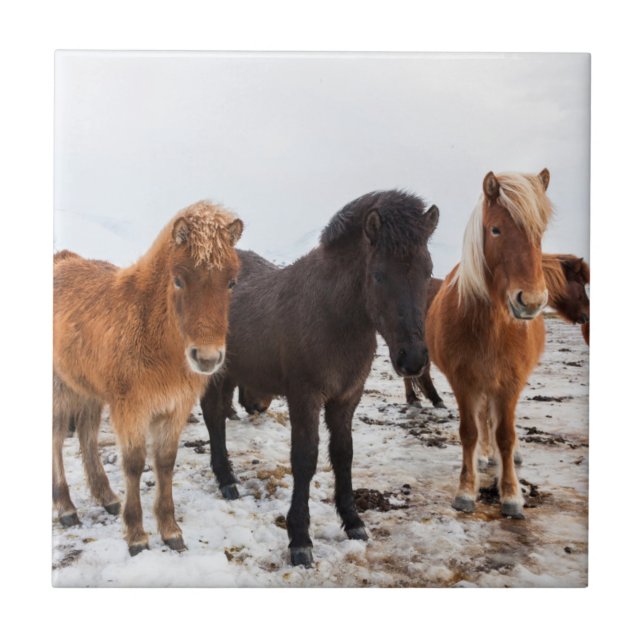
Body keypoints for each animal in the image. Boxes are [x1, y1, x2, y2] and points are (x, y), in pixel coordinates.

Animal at [53, 201, 243, 555]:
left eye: (231, 282)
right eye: (179, 280)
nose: (207, 358)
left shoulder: (174, 408)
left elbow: (165, 462)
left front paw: (170, 530)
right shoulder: (131, 409)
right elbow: (134, 463)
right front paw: (137, 535)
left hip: (88, 390)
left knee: (86, 434)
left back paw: (106, 497)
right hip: (61, 389)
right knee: (58, 438)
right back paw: (66, 508)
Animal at [200, 190, 439, 566]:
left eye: (428, 272)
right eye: (378, 276)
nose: (413, 359)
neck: (332, 315)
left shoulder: (346, 398)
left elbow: (343, 454)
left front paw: (353, 521)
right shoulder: (305, 397)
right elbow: (305, 458)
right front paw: (300, 538)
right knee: (213, 417)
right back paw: (226, 481)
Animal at [426, 169, 552, 519]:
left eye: (540, 232)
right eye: (495, 229)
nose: (531, 301)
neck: (492, 328)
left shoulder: (510, 382)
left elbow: (506, 435)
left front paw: (511, 495)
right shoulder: (464, 381)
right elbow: (470, 431)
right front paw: (466, 491)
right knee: (483, 421)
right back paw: (485, 454)